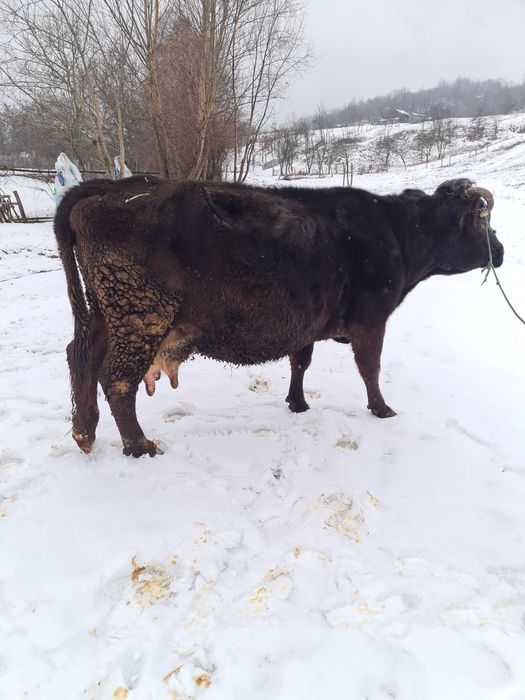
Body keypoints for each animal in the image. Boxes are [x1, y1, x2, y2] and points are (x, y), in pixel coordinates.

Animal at [54, 176, 504, 457]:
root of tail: (112, 187)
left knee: (80, 355)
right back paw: (138, 446)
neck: (396, 232)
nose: (500, 250)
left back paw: (85, 432)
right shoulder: (371, 320)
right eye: (482, 221)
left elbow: (300, 361)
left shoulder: (306, 323)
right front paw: (381, 409)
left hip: (105, 314)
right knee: (116, 377)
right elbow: (370, 368)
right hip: (140, 313)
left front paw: (297, 402)